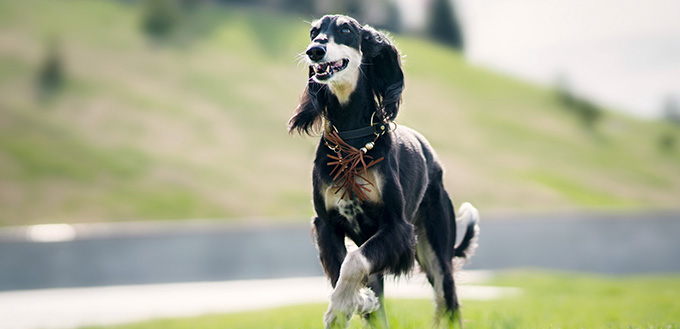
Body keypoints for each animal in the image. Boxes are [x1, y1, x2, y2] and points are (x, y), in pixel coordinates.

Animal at [290, 14, 480, 328]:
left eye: (345, 29)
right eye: (314, 32)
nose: (314, 51)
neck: (352, 139)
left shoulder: (397, 228)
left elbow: (353, 262)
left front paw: (342, 305)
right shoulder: (326, 225)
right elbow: (343, 271)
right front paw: (358, 300)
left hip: (436, 251)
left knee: (448, 300)